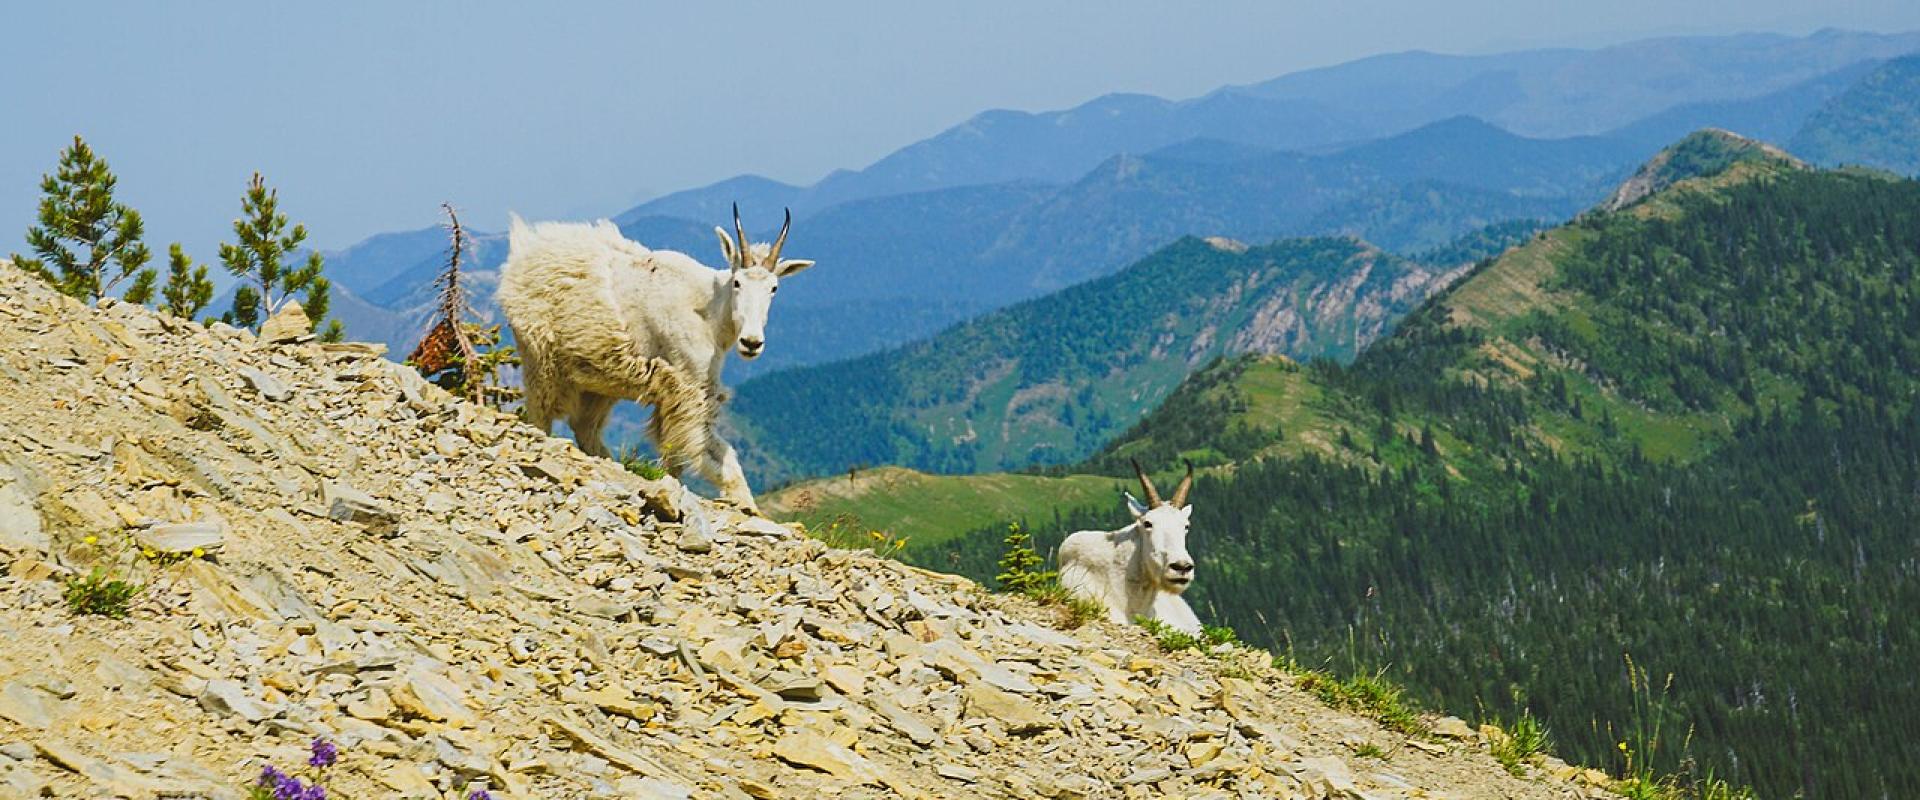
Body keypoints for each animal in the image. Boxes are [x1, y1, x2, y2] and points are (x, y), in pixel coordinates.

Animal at [496, 205, 814, 510]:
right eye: (737, 282)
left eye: (774, 287)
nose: (751, 343)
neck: (710, 312)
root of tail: (522, 251)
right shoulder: (690, 387)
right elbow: (712, 454)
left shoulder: (672, 394)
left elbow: (675, 456)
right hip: (540, 359)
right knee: (541, 416)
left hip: (600, 382)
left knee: (586, 429)